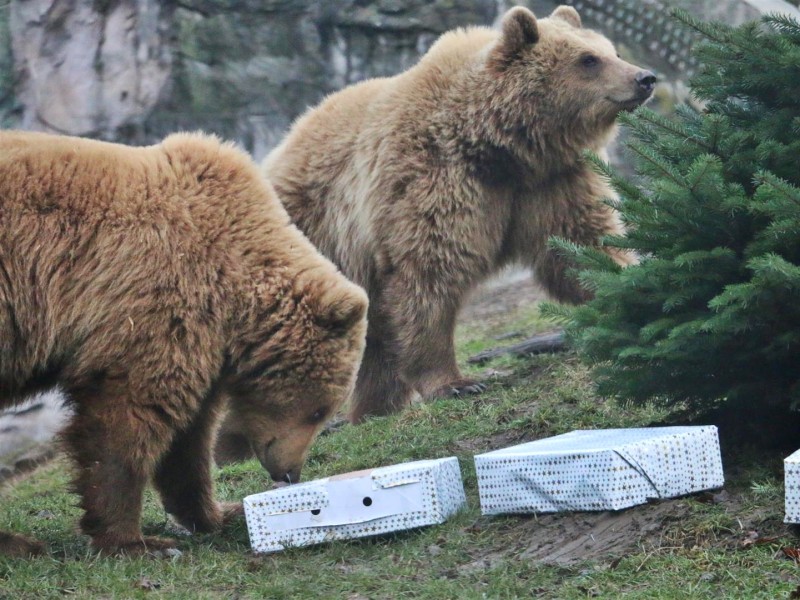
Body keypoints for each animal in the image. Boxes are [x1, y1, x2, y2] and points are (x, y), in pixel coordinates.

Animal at [0, 131, 368, 556]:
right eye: (318, 410)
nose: (290, 472)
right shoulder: (156, 298)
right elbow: (125, 419)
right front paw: (137, 541)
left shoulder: (203, 341)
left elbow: (189, 438)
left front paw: (218, 513)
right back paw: (20, 543)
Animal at [260, 4, 652, 422]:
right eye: (588, 59)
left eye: (613, 51)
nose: (645, 78)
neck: (503, 148)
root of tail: (278, 153)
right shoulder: (434, 181)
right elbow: (429, 276)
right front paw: (455, 383)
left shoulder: (552, 183)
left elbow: (582, 247)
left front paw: (635, 294)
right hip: (312, 236)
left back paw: (375, 409)